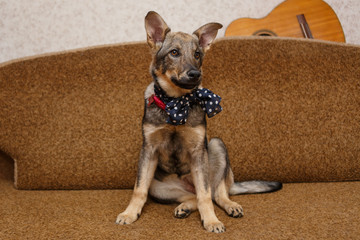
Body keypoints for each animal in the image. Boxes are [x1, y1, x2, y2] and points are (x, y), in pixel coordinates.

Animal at [116, 10, 282, 232]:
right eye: (174, 53)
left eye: (197, 55)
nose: (195, 74)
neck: (177, 102)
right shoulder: (149, 150)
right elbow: (138, 189)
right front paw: (129, 213)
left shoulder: (198, 152)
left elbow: (205, 195)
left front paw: (211, 221)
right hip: (160, 188)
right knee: (193, 196)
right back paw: (184, 207)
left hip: (216, 147)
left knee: (215, 193)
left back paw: (230, 205)